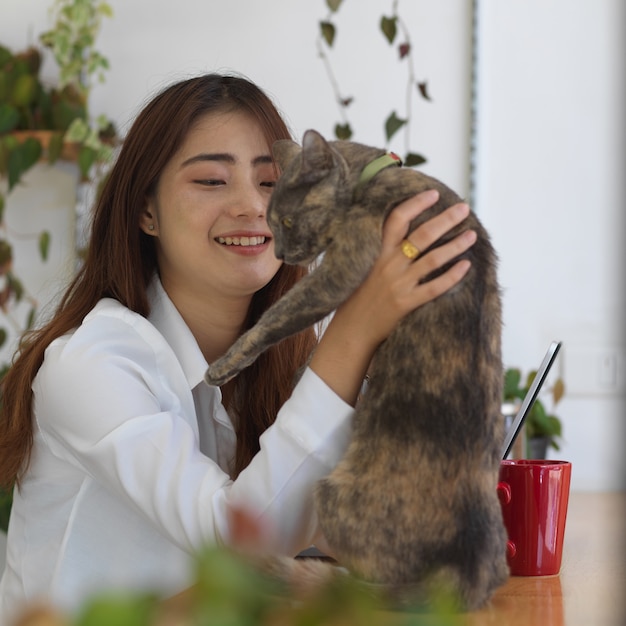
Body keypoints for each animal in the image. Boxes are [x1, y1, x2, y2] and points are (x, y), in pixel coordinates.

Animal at [205, 129, 508, 608]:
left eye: (286, 221)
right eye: (271, 225)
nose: (281, 252)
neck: (377, 178)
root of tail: (468, 573)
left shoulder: (344, 267)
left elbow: (276, 317)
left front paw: (224, 365)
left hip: (330, 496)